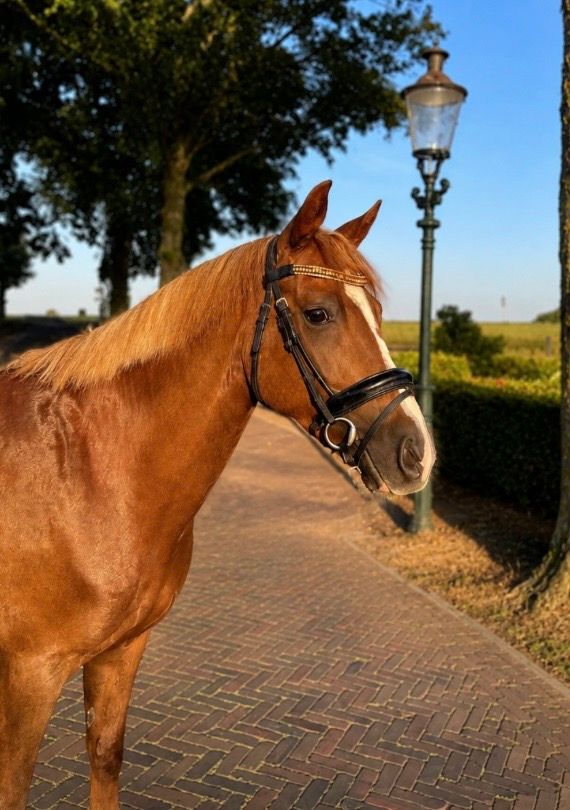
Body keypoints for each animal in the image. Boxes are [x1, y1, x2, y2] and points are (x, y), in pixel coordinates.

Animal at [0, 180, 434, 809]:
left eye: (378, 315)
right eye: (318, 313)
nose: (416, 452)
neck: (86, 469)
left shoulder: (120, 651)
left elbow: (105, 756)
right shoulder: (29, 671)